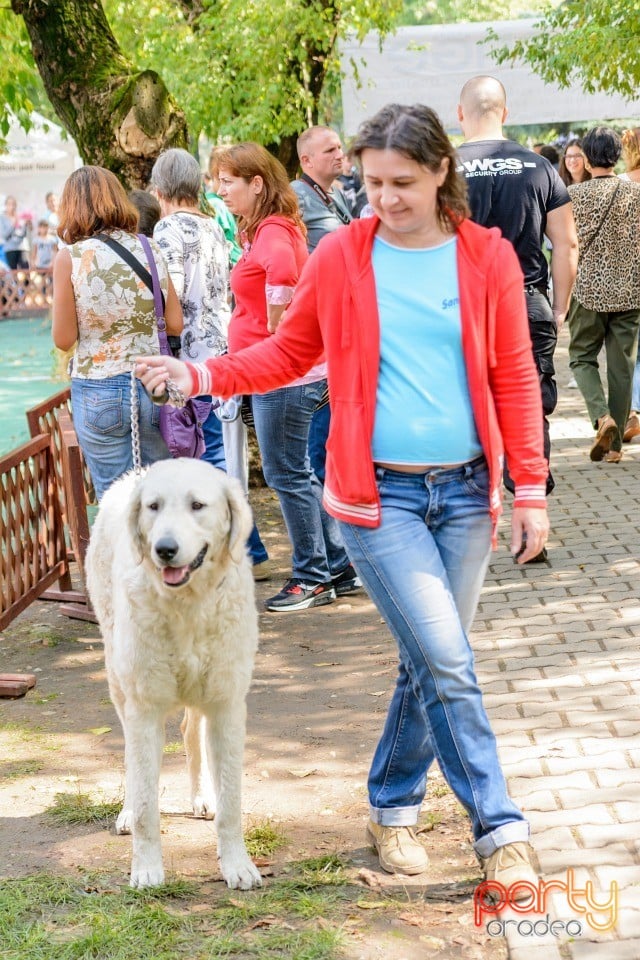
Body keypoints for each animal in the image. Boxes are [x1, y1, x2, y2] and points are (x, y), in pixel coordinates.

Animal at [86, 460, 262, 892]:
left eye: (197, 505)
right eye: (154, 507)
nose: (164, 550)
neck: (187, 606)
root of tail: (133, 474)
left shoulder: (226, 704)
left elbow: (232, 802)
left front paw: (237, 865)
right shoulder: (145, 708)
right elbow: (147, 804)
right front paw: (147, 869)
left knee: (190, 733)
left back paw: (203, 796)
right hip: (119, 682)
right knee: (131, 758)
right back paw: (127, 811)